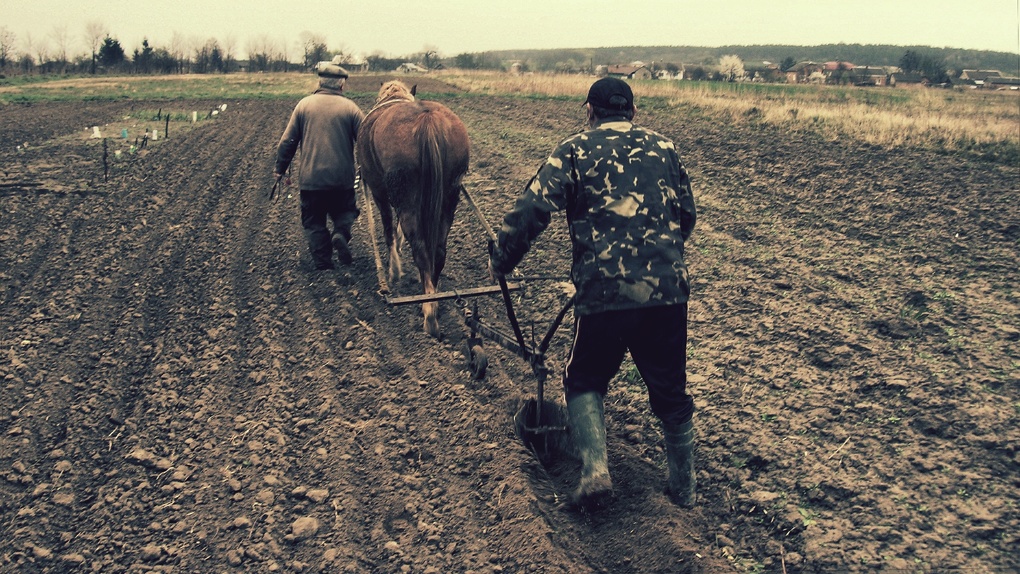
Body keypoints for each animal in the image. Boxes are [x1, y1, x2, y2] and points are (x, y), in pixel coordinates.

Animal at [359, 79, 469, 338]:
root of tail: (428, 120)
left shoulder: (380, 191)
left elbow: (389, 228)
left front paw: (393, 271)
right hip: (450, 196)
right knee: (438, 250)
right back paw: (433, 299)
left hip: (404, 193)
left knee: (419, 247)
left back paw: (429, 314)